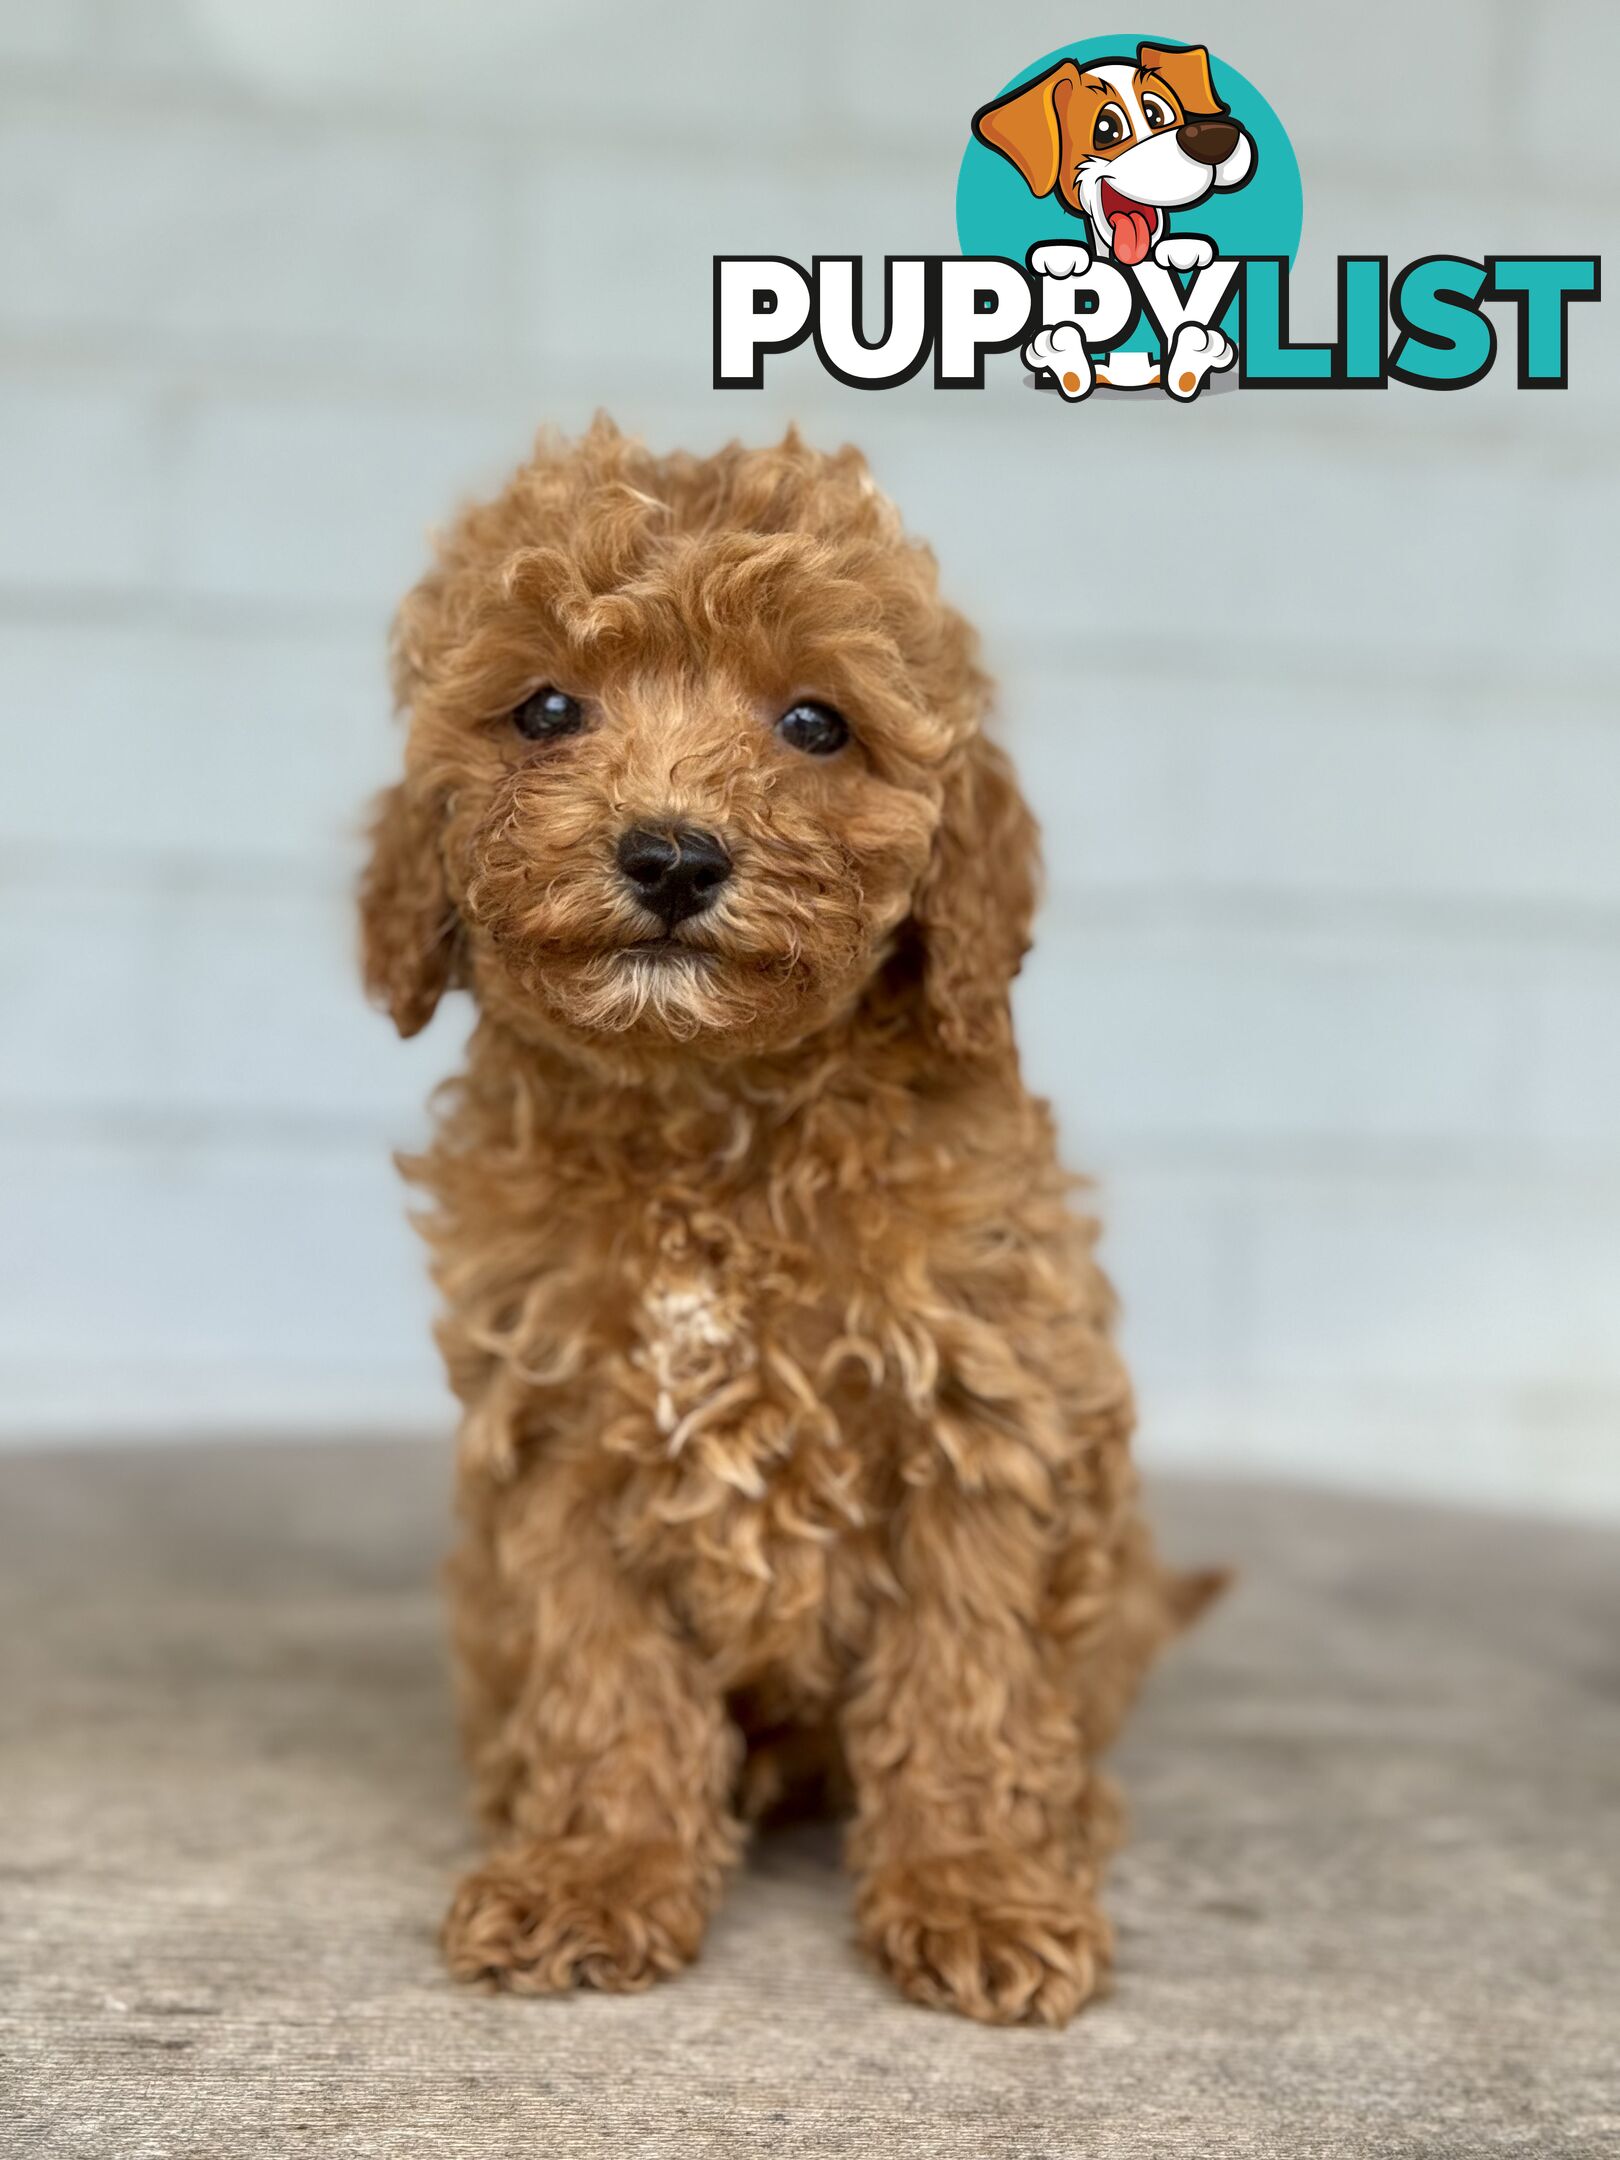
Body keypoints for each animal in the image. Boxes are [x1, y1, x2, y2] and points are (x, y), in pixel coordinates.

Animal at [358, 421, 1218, 2021]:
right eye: (546, 709)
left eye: (817, 725)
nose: (672, 857)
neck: (709, 1113)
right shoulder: (562, 1436)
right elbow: (605, 1674)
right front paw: (599, 1869)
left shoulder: (981, 1416)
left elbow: (968, 1678)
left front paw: (976, 1888)